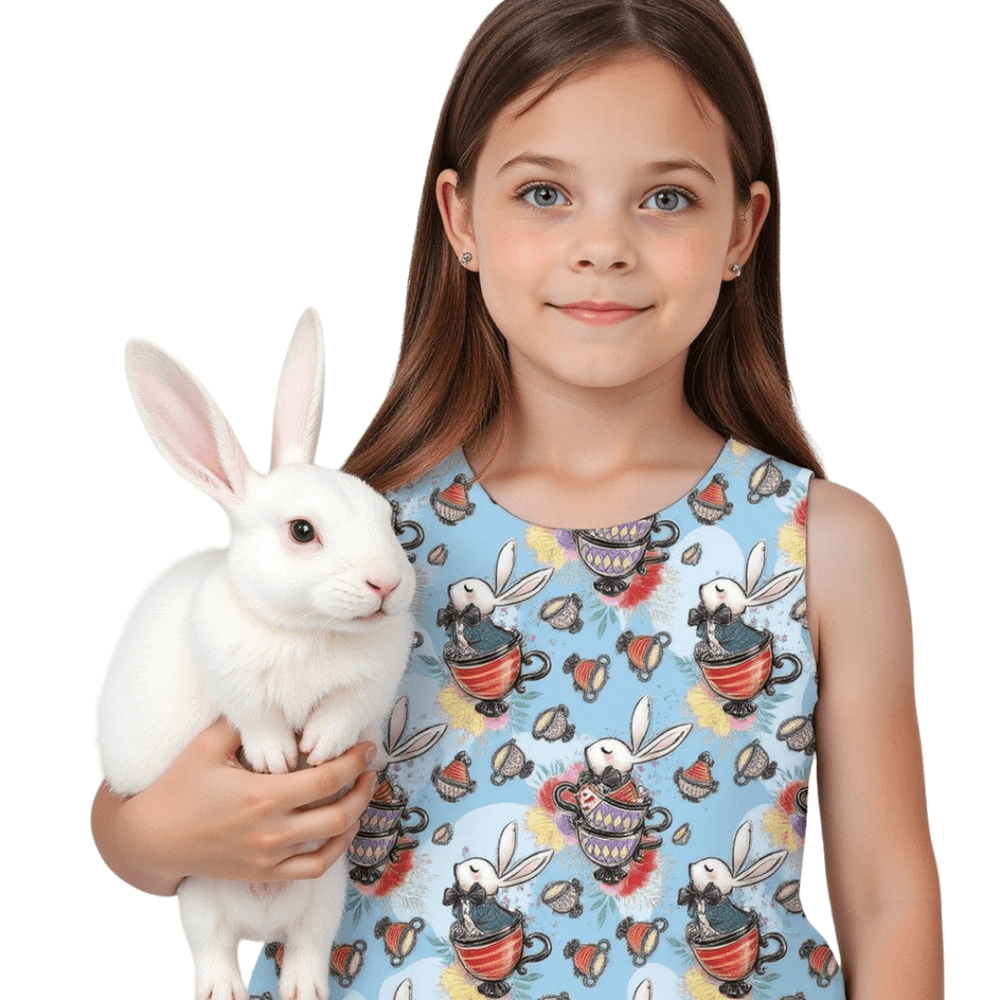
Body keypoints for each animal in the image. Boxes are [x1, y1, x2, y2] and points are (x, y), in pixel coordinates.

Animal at [95, 308, 416, 1000]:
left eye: (386, 514)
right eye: (302, 531)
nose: (387, 584)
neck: (307, 629)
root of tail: (260, 916)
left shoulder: (371, 685)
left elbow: (341, 711)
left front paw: (317, 747)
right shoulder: (231, 678)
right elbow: (257, 716)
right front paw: (276, 760)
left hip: (324, 895)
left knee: (306, 947)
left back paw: (303, 989)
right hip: (199, 897)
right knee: (214, 950)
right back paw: (224, 990)